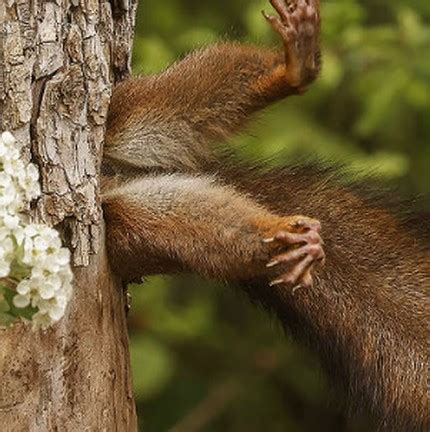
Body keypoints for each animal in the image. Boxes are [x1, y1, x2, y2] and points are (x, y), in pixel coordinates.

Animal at [101, 1, 430, 430]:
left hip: (127, 113)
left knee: (183, 94)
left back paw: (295, 66)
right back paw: (284, 240)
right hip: (130, 227)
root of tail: (117, 174)